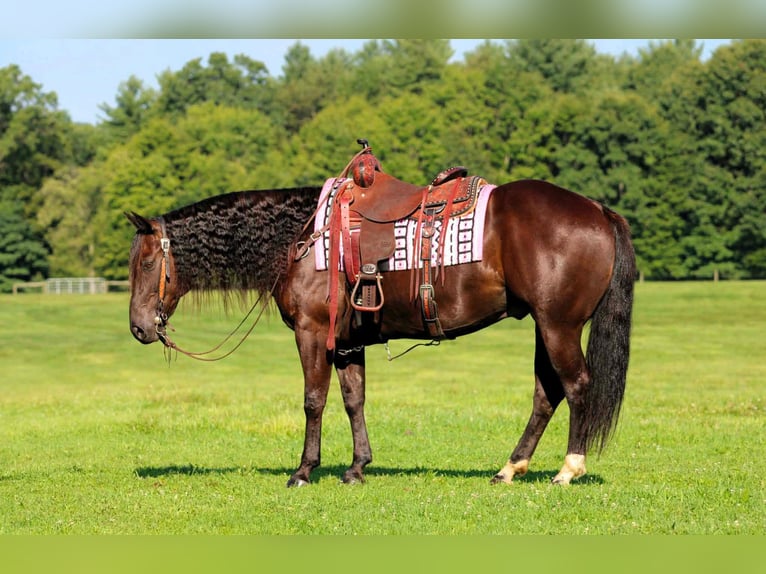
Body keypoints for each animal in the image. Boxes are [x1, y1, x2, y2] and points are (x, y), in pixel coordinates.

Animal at [126, 149, 636, 487]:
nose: (138, 327)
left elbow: (314, 401)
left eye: (147, 263)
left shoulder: (313, 333)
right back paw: (510, 467)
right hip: (543, 325)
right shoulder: (348, 342)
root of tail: (597, 209)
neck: (301, 237)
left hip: (558, 325)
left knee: (576, 386)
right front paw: (357, 467)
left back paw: (569, 469)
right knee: (546, 394)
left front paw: (304, 471)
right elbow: (355, 400)